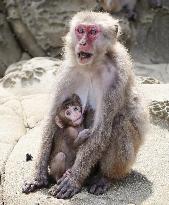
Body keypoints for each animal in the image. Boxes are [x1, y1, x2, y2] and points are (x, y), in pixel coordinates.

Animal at [22, 11, 148, 199]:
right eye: (80, 30)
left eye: (93, 32)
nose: (82, 42)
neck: (91, 66)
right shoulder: (67, 73)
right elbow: (52, 119)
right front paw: (37, 176)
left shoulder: (116, 77)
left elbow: (101, 129)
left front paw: (73, 180)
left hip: (127, 163)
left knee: (119, 122)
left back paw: (104, 178)